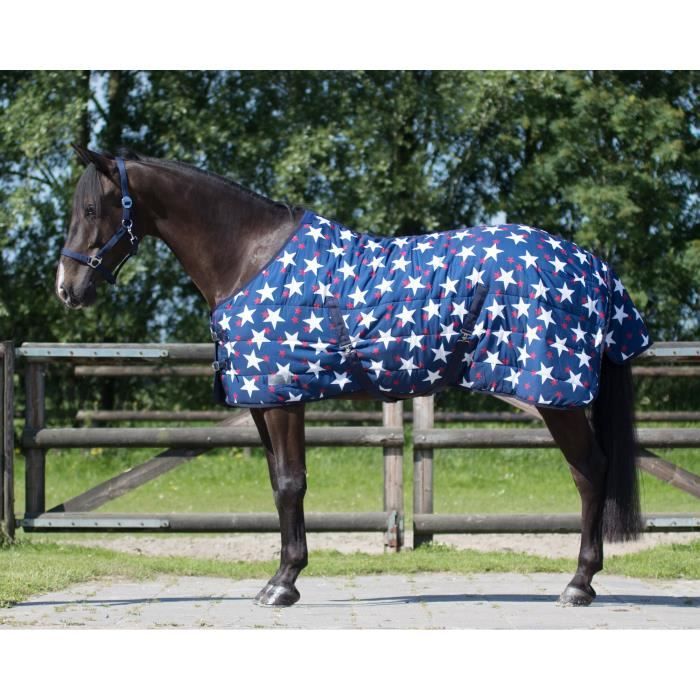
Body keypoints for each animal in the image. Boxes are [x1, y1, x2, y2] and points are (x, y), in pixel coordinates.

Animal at [56, 145, 647, 607]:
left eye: (90, 208)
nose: (67, 289)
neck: (250, 257)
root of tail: (593, 265)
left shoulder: (283, 398)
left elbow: (291, 485)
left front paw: (283, 584)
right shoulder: (261, 401)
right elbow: (278, 484)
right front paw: (283, 576)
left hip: (554, 394)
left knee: (590, 472)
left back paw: (578, 584)